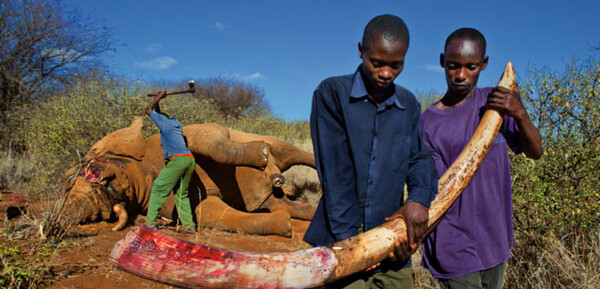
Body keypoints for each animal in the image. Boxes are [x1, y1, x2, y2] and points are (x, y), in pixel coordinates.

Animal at [58, 117, 316, 236]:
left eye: (92, 171)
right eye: (103, 214)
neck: (146, 168)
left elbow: (207, 139)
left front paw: (262, 154)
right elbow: (207, 212)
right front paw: (284, 224)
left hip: (276, 144)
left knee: (291, 151)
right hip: (272, 198)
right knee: (284, 204)